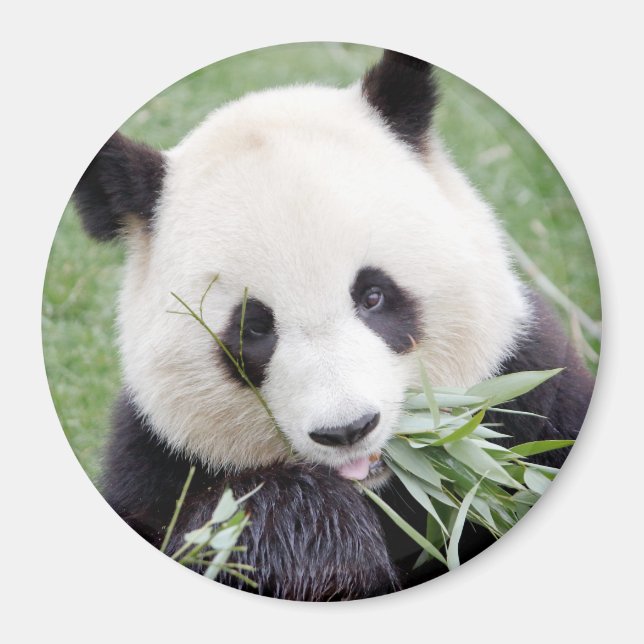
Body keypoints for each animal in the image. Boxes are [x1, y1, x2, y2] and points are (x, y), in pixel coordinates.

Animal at [72, 50, 594, 600]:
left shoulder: (528, 391)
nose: (347, 430)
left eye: (373, 296)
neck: (378, 487)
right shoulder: (159, 459)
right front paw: (308, 535)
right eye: (253, 329)